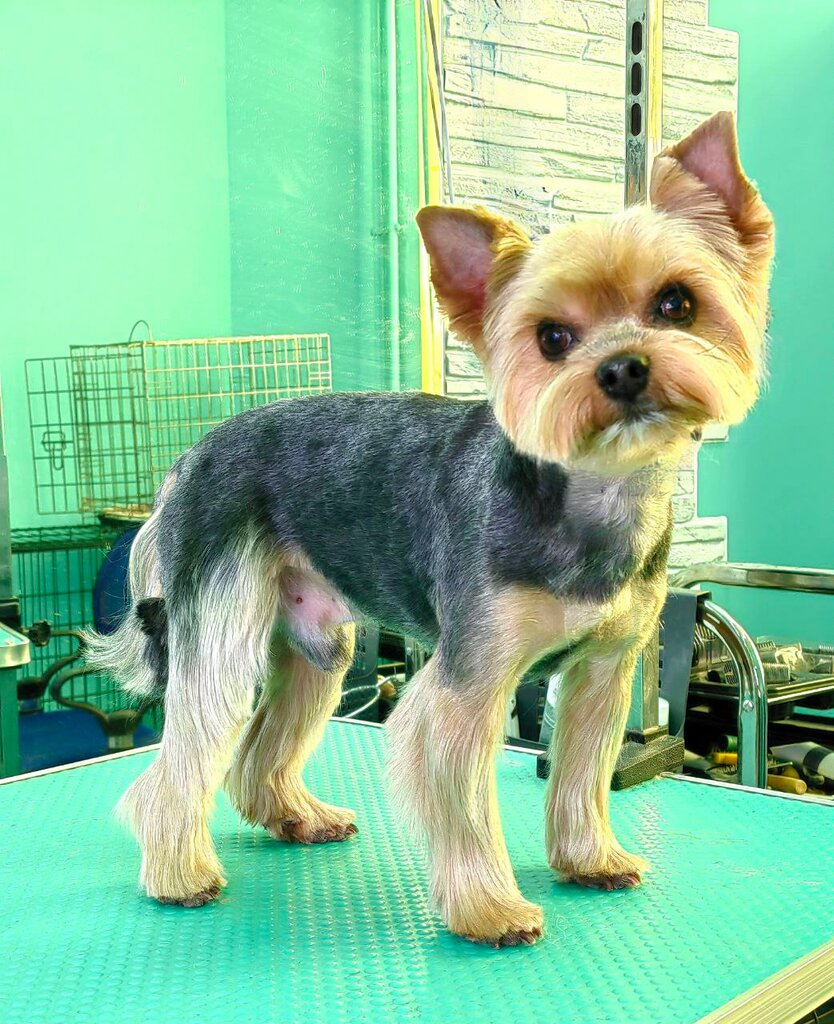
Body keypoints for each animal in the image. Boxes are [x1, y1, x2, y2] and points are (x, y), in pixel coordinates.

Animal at [86, 112, 773, 947]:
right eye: (552, 338)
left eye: (676, 303)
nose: (622, 369)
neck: (588, 498)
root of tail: (185, 461)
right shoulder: (467, 683)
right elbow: (466, 803)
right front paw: (490, 909)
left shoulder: (603, 674)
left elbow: (582, 773)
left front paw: (590, 857)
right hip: (222, 623)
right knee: (183, 755)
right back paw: (177, 873)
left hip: (318, 644)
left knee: (256, 751)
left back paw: (295, 817)